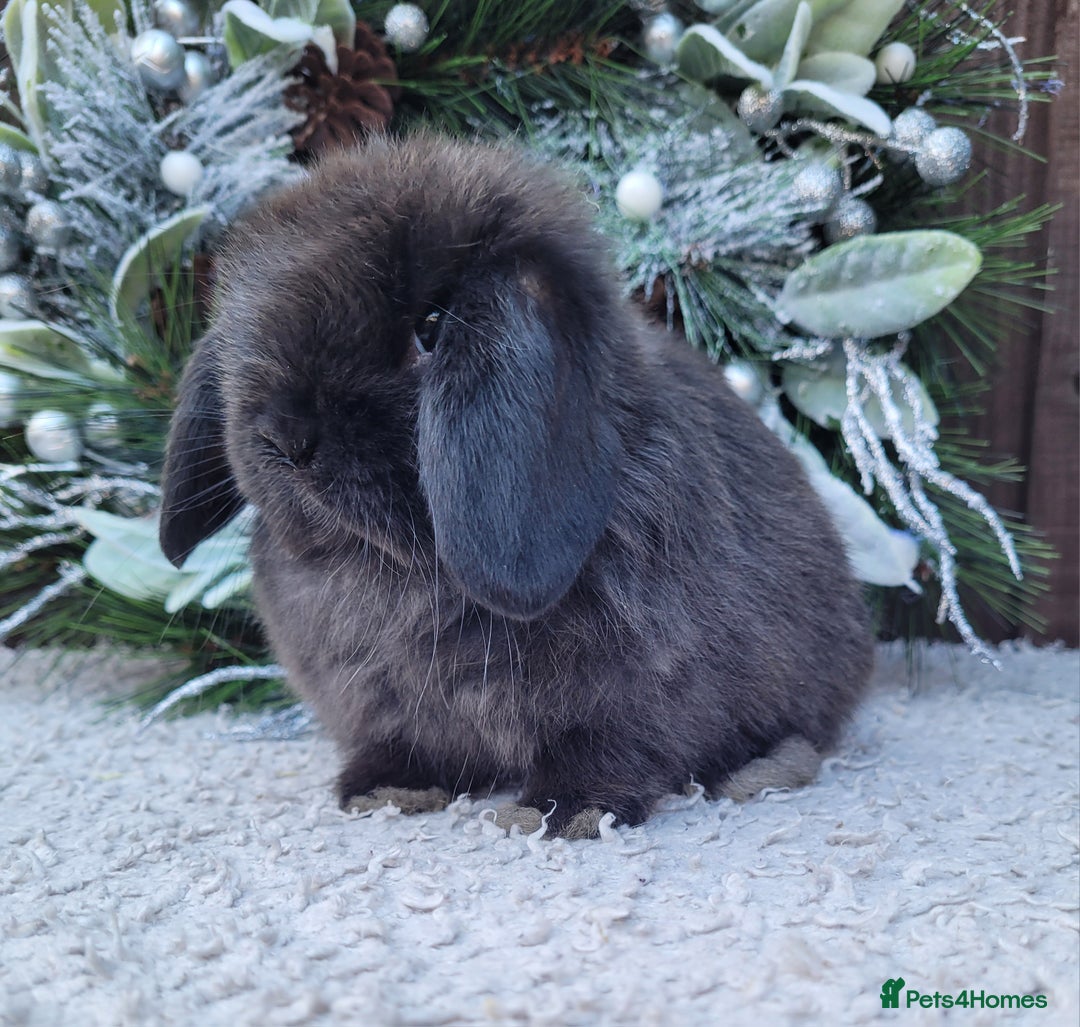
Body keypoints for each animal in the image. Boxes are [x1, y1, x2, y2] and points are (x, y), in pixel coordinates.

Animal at [159, 133, 874, 839]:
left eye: (430, 330)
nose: (284, 437)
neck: (396, 570)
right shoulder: (384, 705)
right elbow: (404, 746)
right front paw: (385, 789)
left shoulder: (637, 687)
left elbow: (611, 749)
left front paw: (557, 812)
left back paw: (762, 768)